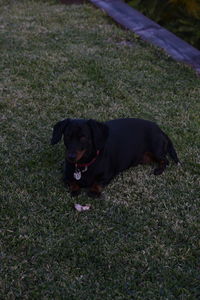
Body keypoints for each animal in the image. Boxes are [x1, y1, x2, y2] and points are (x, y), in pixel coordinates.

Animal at [50, 118, 179, 198]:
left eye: (83, 137)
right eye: (67, 136)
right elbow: (71, 181)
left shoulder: (108, 175)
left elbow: (98, 182)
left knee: (165, 160)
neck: (84, 164)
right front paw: (75, 189)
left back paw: (159, 170)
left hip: (156, 149)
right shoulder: (65, 175)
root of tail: (160, 130)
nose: (70, 157)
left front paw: (93, 191)